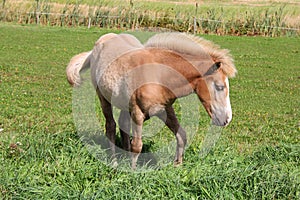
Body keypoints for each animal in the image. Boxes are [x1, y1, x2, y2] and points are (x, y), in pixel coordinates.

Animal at [66, 32, 237, 169]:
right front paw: (132, 172)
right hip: (103, 98)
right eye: (220, 87)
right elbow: (137, 146)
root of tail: (99, 44)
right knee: (110, 126)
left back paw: (123, 155)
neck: (159, 75)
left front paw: (177, 165)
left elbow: (181, 135)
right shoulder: (138, 113)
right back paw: (114, 162)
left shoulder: (164, 109)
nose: (227, 119)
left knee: (123, 125)